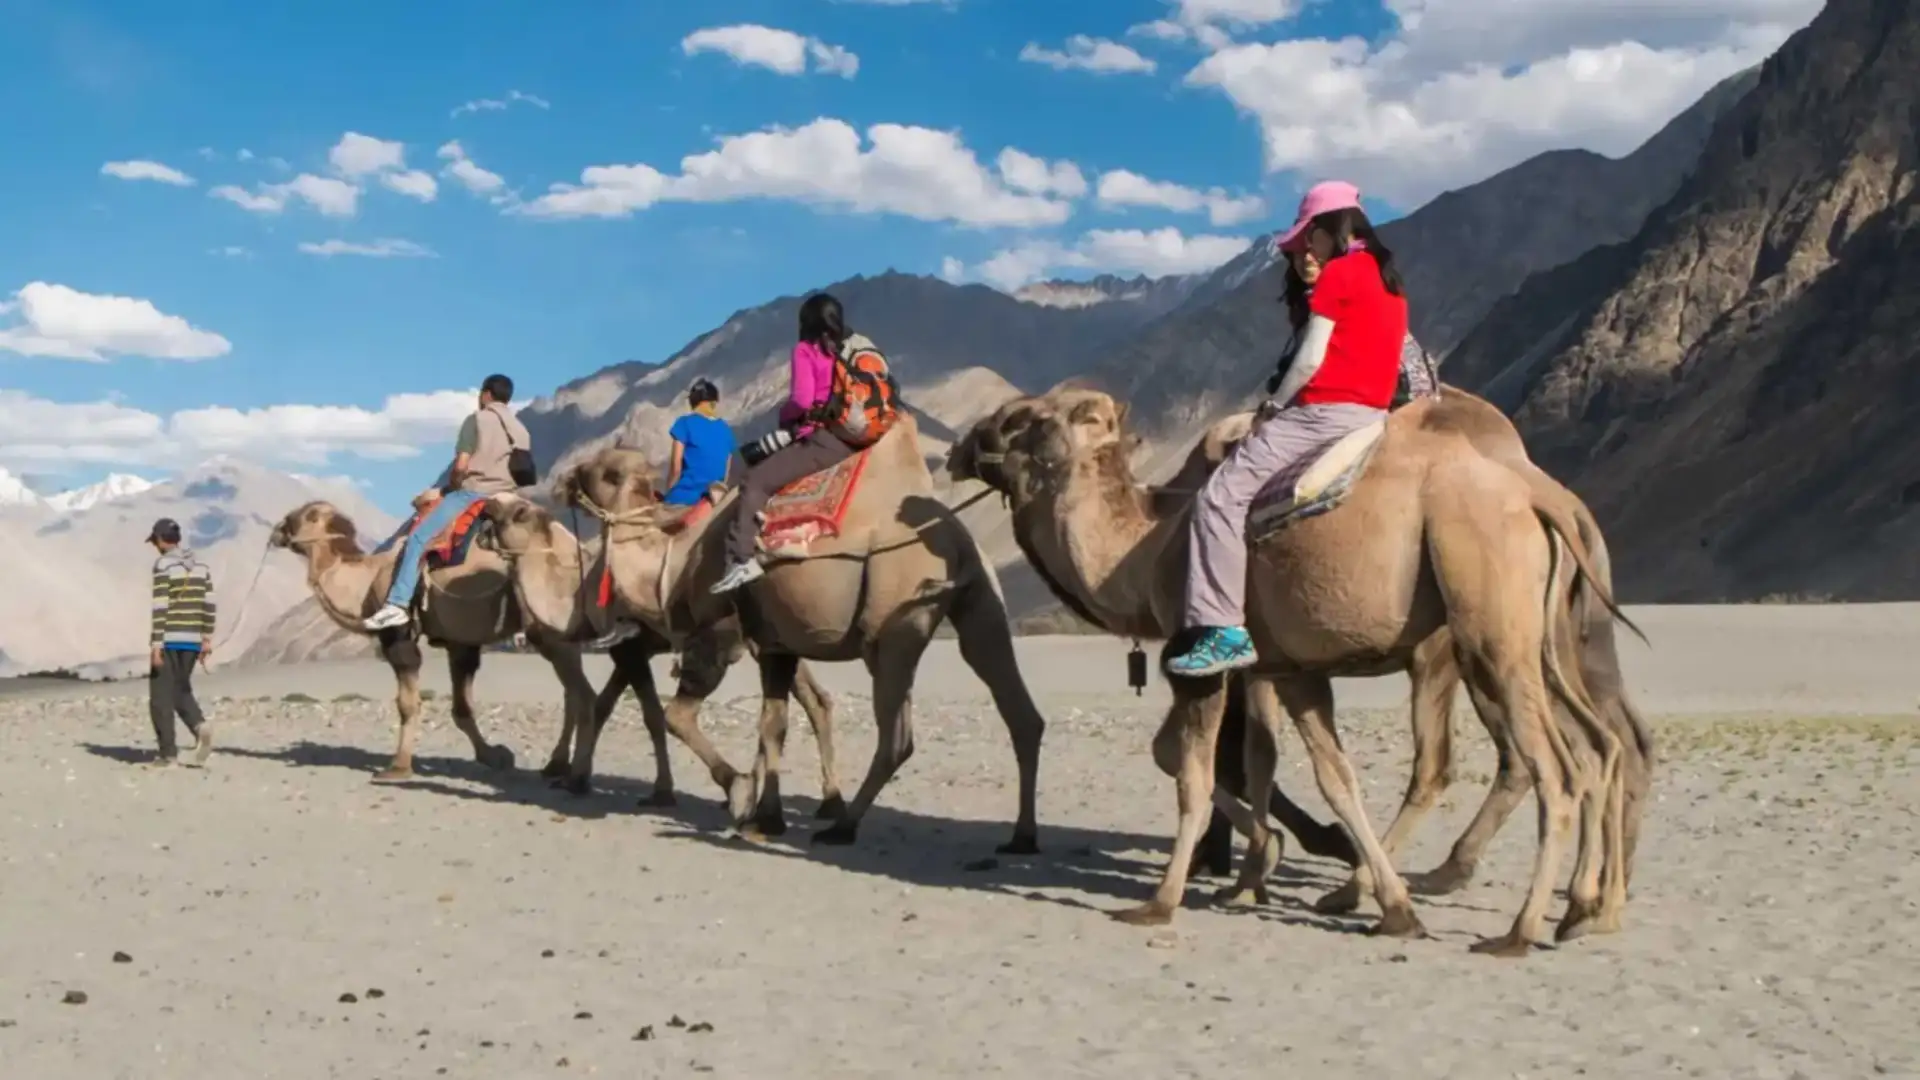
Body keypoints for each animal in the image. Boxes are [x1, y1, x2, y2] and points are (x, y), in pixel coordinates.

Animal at [266, 500, 595, 782]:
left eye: (299, 516)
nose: (276, 531)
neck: (366, 582)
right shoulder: (459, 641)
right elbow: (462, 709)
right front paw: (494, 756)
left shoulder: (398, 635)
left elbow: (408, 704)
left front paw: (398, 767)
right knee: (572, 691)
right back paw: (557, 765)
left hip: (550, 626)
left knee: (580, 692)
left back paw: (571, 771)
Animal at [473, 492, 847, 818]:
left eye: (517, 512)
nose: (487, 505)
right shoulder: (628, 648)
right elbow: (604, 705)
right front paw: (578, 776)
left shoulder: (629, 646)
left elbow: (649, 714)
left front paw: (659, 790)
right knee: (815, 700)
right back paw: (827, 803)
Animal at [553, 413, 1049, 853]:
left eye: (605, 472)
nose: (561, 480)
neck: (671, 560)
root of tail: (956, 540)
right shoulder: (775, 643)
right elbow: (773, 725)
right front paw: (767, 818)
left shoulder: (719, 636)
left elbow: (678, 716)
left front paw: (739, 793)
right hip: (982, 603)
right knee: (1020, 711)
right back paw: (1021, 837)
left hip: (892, 620)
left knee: (897, 737)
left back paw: (843, 825)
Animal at [948, 387, 1632, 955]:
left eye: (1024, 419)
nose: (961, 445)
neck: (1146, 550)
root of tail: (1541, 502)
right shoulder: (1292, 669)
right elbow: (1325, 776)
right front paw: (1383, 904)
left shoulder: (1199, 662)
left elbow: (1189, 769)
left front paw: (1164, 899)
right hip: (1539, 643)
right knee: (1599, 746)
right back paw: (1583, 909)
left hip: (1482, 633)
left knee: (1541, 769)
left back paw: (1517, 930)